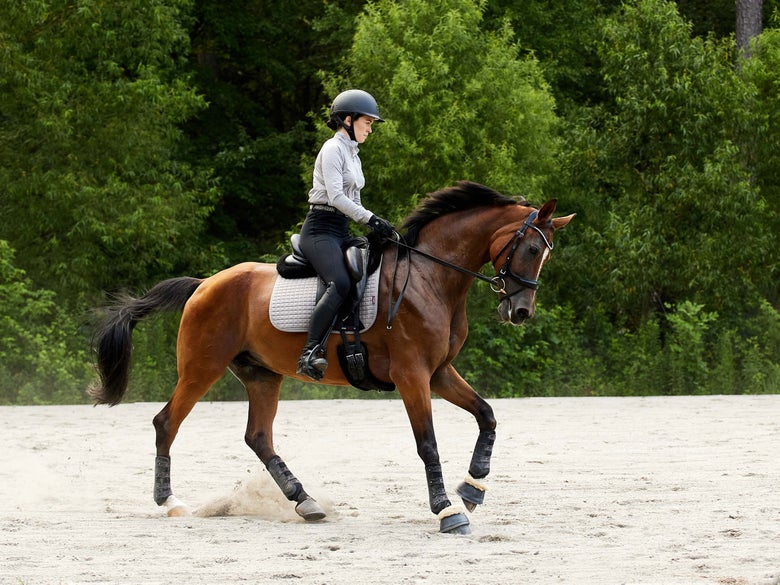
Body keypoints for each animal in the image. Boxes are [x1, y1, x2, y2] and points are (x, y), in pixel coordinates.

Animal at [89, 181, 574, 534]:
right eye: (532, 249)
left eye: (545, 255)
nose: (521, 312)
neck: (431, 277)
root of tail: (204, 283)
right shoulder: (413, 375)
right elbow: (428, 443)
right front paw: (446, 510)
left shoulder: (438, 372)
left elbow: (487, 415)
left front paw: (473, 488)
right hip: (200, 368)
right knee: (166, 423)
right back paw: (170, 502)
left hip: (262, 375)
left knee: (258, 437)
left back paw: (305, 502)